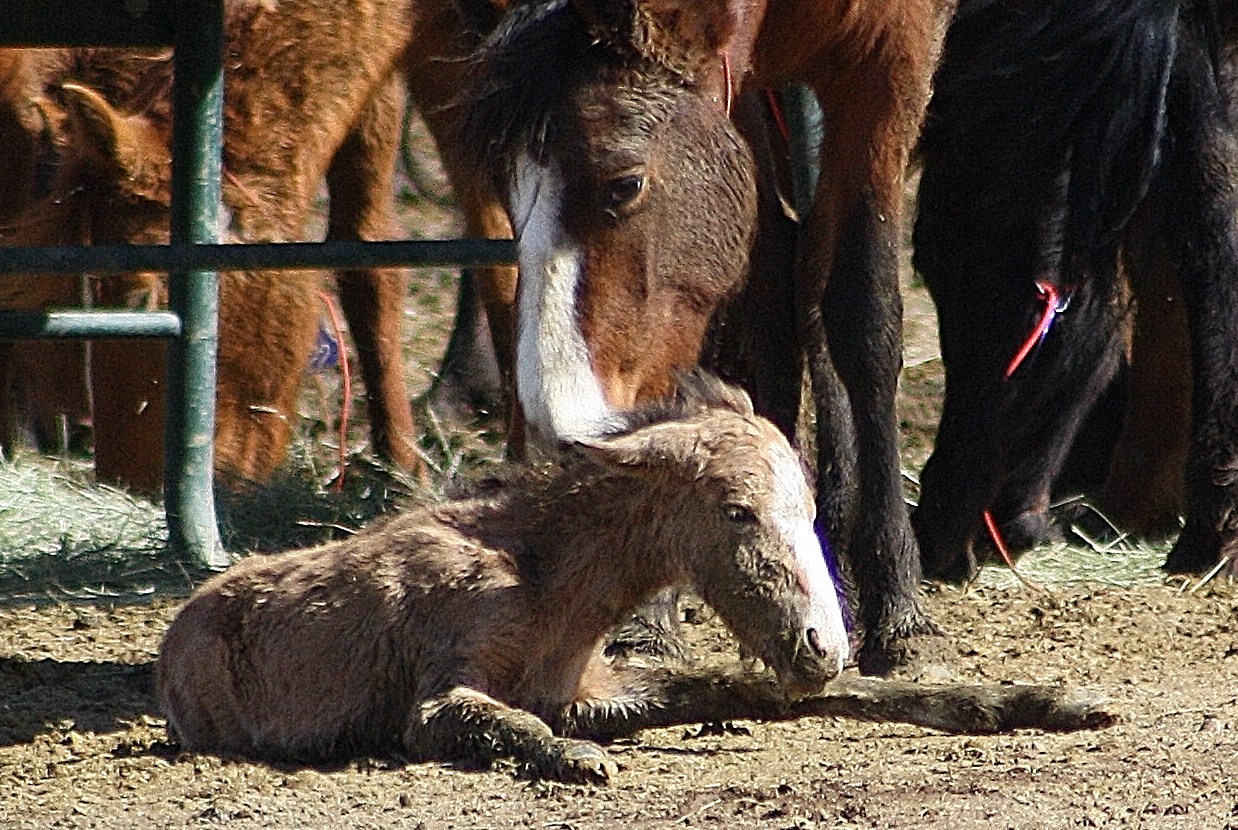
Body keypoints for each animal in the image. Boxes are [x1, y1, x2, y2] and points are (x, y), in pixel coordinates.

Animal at [159, 374, 1119, 782]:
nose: (823, 644)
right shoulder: (431, 704)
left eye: (813, 504)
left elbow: (756, 693)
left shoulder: (592, 688)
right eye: (737, 512)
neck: (546, 588)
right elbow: (496, 722)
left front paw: (1054, 702)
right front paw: (573, 763)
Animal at [460, 0, 950, 673]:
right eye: (506, 193)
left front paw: (897, 605)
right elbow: (769, 294)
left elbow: (862, 313)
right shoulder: (734, 82)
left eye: (625, 183)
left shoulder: (890, 58)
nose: (559, 422)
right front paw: (654, 614)